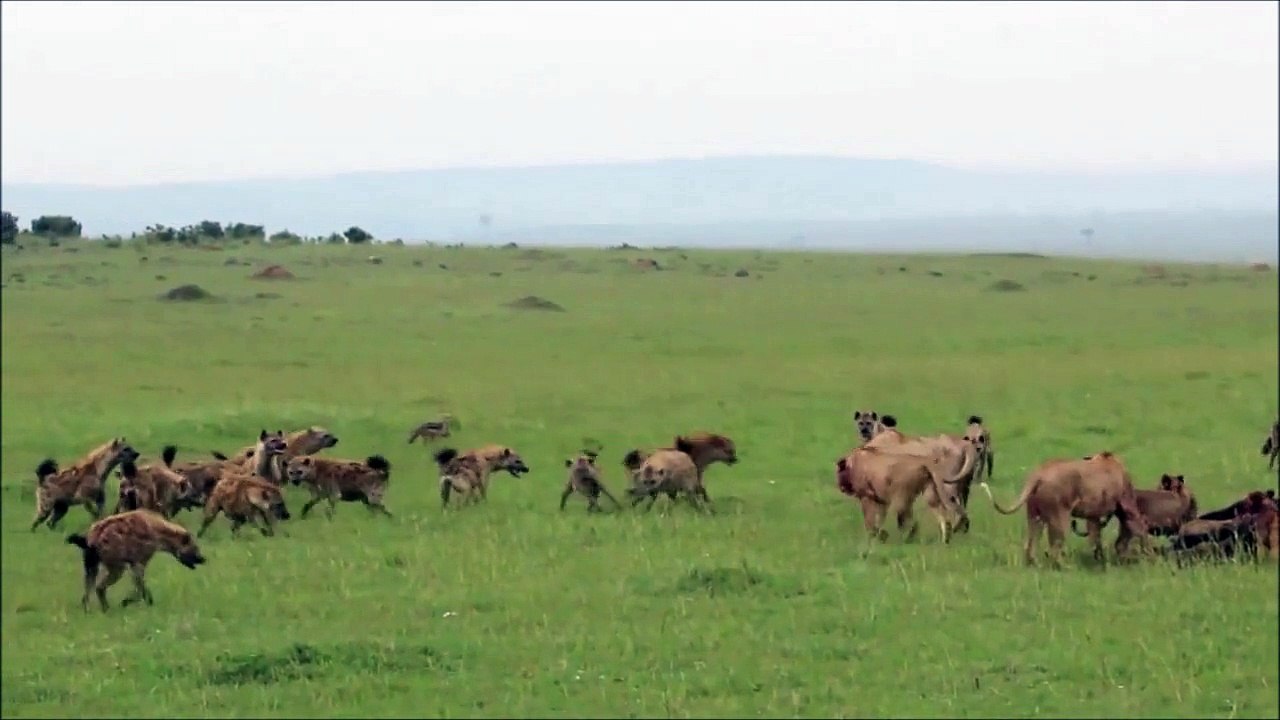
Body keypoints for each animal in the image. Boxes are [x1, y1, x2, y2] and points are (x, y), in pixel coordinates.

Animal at [66, 509, 206, 612]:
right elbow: (139, 586)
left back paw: (88, 609)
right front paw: (132, 602)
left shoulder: (134, 562)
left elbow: (139, 585)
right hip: (116, 566)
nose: (203, 559)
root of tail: (92, 538)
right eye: (195, 548)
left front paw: (143, 601)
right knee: (100, 586)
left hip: (91, 563)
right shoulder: (139, 560)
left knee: (88, 586)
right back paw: (106, 608)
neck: (159, 532)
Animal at [834, 445, 967, 544]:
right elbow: (879, 520)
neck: (854, 462)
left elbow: (870, 521)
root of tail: (925, 463)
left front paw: (878, 536)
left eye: (839, 472)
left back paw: (908, 538)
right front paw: (880, 536)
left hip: (902, 498)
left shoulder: (867, 498)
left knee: (909, 521)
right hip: (929, 493)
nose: (841, 488)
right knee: (942, 516)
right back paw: (945, 539)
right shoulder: (881, 501)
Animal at [978, 451, 1151, 566]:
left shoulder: (1093, 515)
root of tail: (1038, 473)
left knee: (1031, 544)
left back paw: (1035, 564)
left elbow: (1095, 537)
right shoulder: (1127, 505)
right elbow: (1139, 527)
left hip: (1034, 515)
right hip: (1060, 516)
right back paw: (1066, 566)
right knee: (1054, 547)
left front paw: (1099, 559)